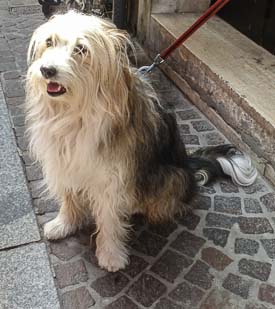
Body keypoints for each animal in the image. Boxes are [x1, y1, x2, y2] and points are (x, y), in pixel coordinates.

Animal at [24, 10, 258, 270]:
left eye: (81, 49)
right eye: (49, 42)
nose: (47, 70)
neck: (77, 111)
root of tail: (188, 165)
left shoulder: (111, 177)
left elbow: (109, 217)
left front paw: (111, 254)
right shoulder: (63, 160)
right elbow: (69, 196)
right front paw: (64, 223)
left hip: (168, 177)